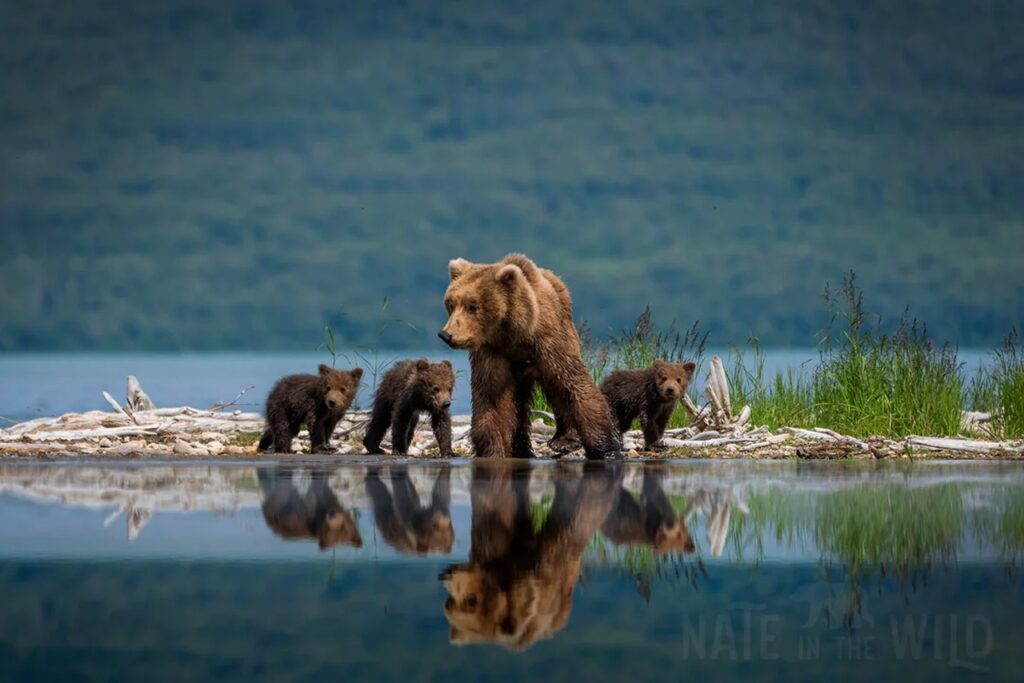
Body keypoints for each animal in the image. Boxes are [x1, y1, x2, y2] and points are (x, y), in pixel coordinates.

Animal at [438, 253, 621, 460]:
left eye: (472, 306)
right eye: (451, 304)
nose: (446, 335)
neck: (515, 334)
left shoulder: (549, 342)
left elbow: (574, 385)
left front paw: (606, 449)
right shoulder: (492, 352)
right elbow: (492, 400)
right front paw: (493, 451)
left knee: (556, 389)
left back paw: (563, 440)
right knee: (520, 403)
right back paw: (522, 449)